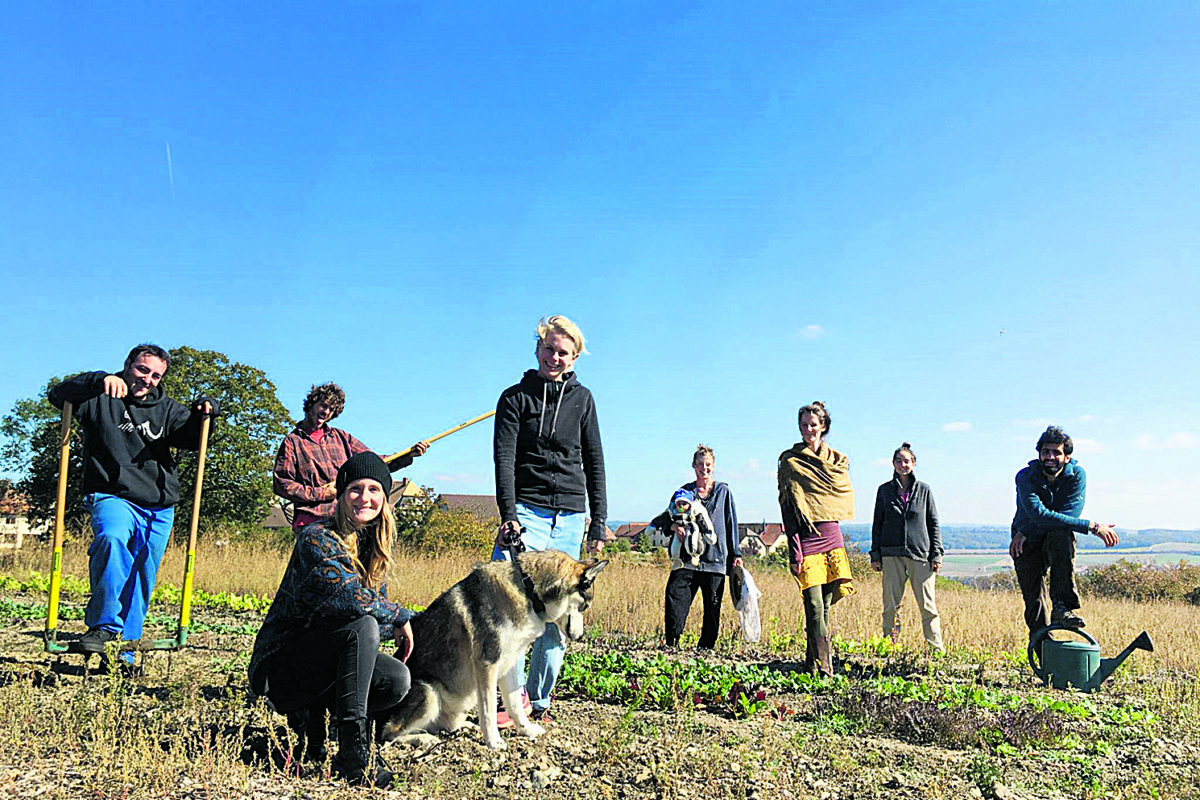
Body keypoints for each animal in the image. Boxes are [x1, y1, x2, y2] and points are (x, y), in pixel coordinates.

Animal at [381, 546, 609, 748]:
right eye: (585, 606)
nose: (580, 636)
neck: (528, 591)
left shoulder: (510, 664)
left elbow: (516, 705)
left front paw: (526, 730)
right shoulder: (488, 664)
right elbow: (489, 709)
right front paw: (493, 741)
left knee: (444, 725)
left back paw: (464, 726)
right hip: (429, 693)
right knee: (389, 734)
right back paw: (423, 739)